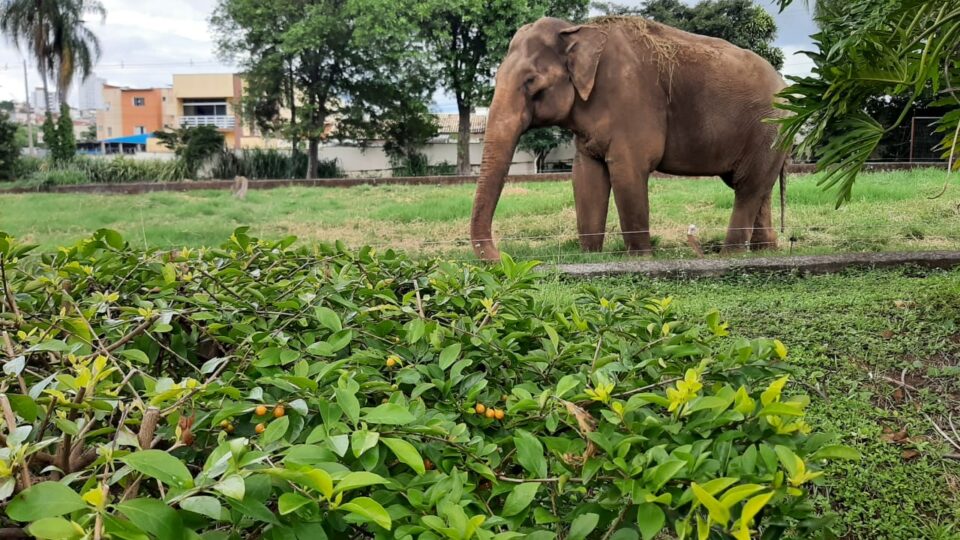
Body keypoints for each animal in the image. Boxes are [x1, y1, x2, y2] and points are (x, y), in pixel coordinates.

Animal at [469, 16, 789, 261]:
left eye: (531, 82)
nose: (503, 257)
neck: (579, 30)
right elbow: (585, 177)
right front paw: (590, 256)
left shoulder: (630, 100)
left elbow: (628, 172)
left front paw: (641, 258)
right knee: (757, 187)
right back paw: (765, 250)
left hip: (768, 129)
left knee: (747, 188)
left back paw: (731, 254)